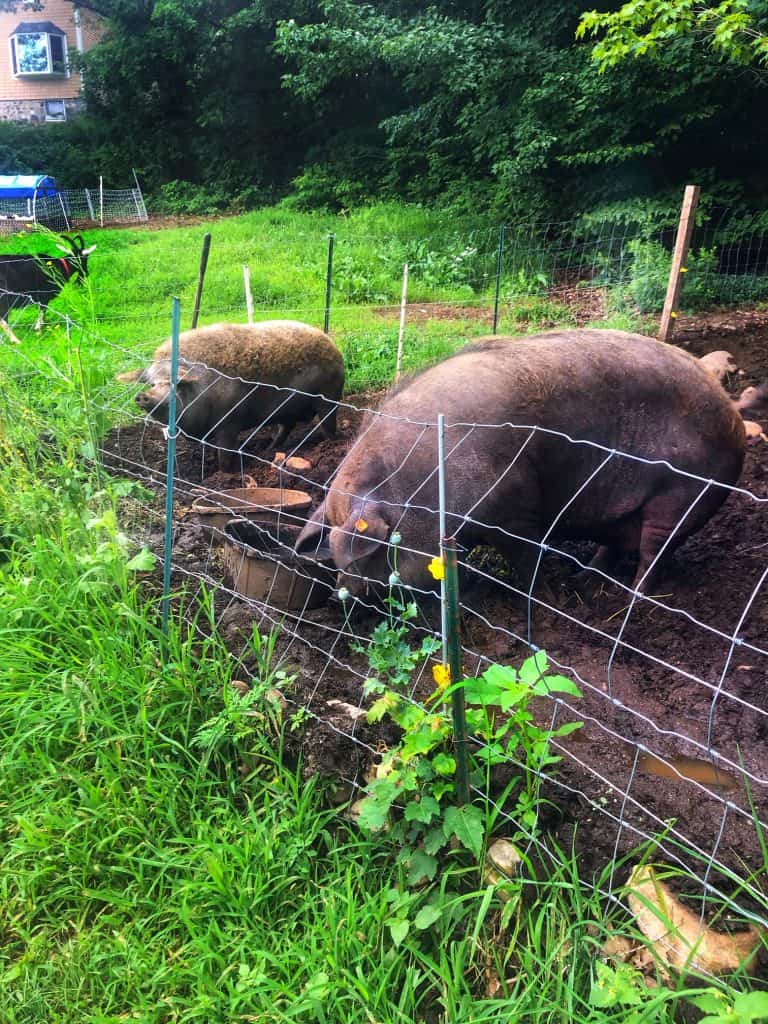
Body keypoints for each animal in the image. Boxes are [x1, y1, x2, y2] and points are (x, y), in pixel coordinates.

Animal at [119, 319, 346, 471]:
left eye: (175, 383)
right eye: (152, 383)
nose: (144, 396)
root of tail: (332, 345)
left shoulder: (229, 422)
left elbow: (226, 453)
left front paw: (223, 473)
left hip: (328, 397)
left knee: (327, 422)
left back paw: (330, 443)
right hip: (285, 410)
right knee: (287, 427)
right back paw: (269, 448)